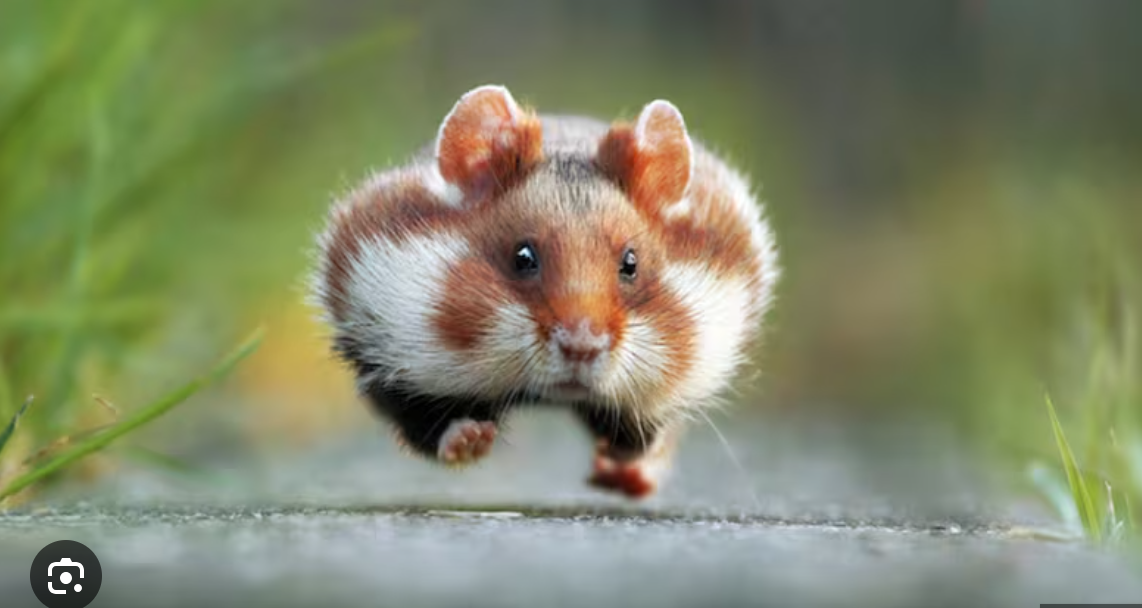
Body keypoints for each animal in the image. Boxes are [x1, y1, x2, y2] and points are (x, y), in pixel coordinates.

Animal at [310, 85, 779, 499]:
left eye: (631, 264)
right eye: (523, 257)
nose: (582, 347)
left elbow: (646, 431)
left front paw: (617, 454)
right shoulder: (388, 359)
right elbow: (428, 425)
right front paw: (473, 440)